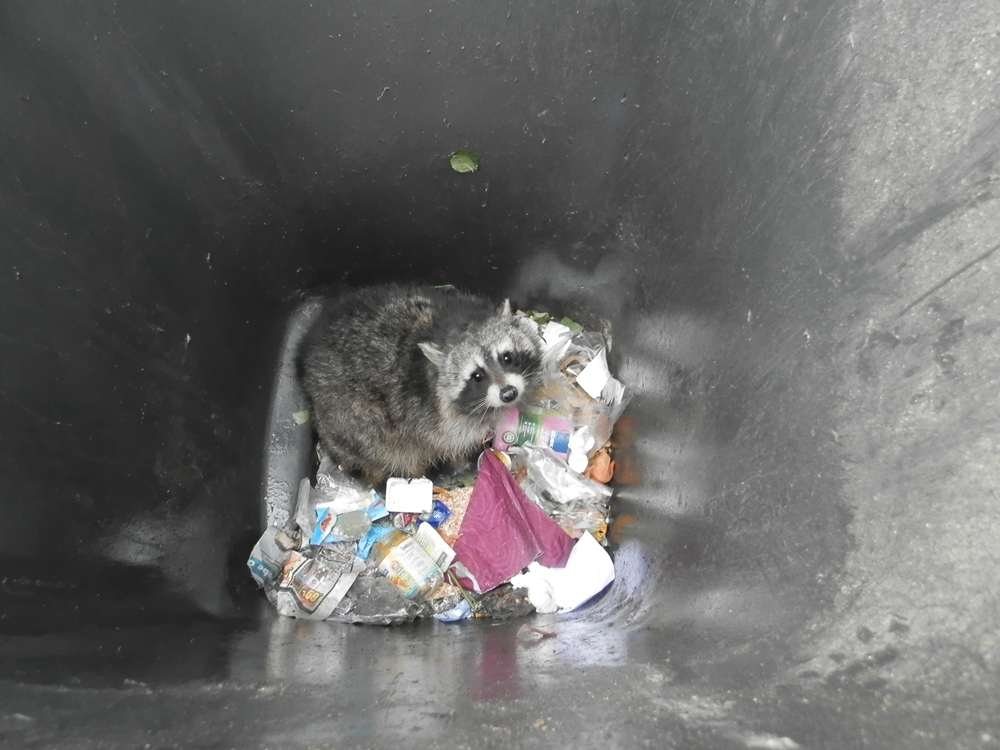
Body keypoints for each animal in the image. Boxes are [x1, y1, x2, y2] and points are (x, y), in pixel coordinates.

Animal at [298, 284, 544, 488]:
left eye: (507, 358)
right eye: (477, 376)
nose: (509, 393)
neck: (453, 325)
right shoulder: (432, 420)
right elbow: (444, 444)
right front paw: (461, 461)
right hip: (352, 421)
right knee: (388, 450)